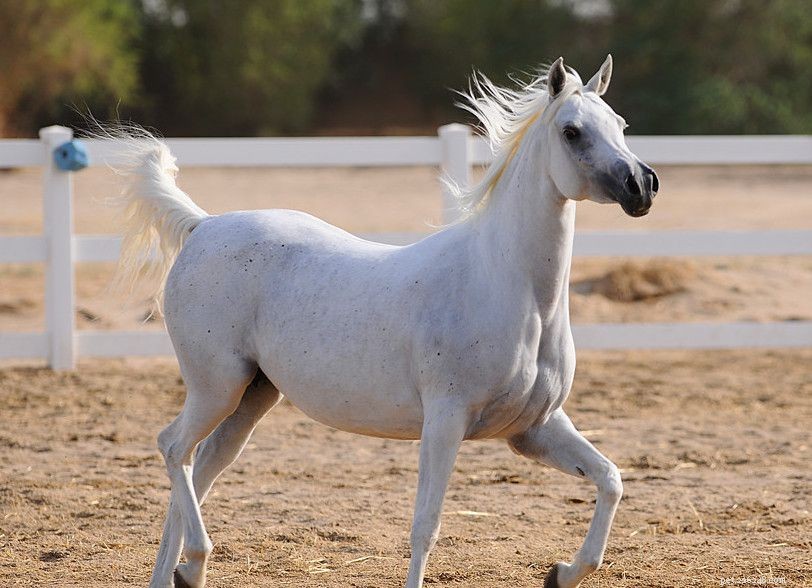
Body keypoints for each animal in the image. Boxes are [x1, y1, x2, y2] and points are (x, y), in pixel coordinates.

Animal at [107, 55, 658, 588]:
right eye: (572, 131)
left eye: (620, 124)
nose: (642, 186)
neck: (509, 287)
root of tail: (203, 226)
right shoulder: (445, 422)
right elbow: (426, 526)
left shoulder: (535, 428)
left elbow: (610, 479)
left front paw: (561, 573)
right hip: (217, 387)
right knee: (173, 448)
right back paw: (195, 562)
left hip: (251, 398)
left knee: (198, 468)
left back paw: (178, 574)